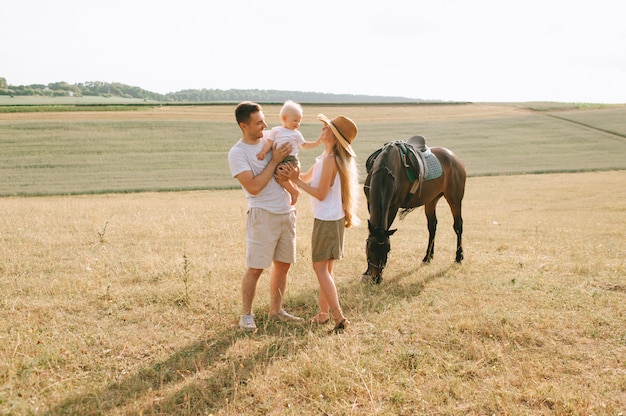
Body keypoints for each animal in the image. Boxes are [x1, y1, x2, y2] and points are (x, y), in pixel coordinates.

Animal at [360, 138, 464, 284]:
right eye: (370, 247)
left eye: (388, 249)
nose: (376, 278)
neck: (384, 169)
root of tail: (455, 158)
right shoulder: (369, 204)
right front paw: (366, 271)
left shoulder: (393, 206)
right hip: (431, 200)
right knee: (432, 226)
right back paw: (427, 257)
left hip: (454, 199)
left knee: (458, 226)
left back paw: (458, 256)